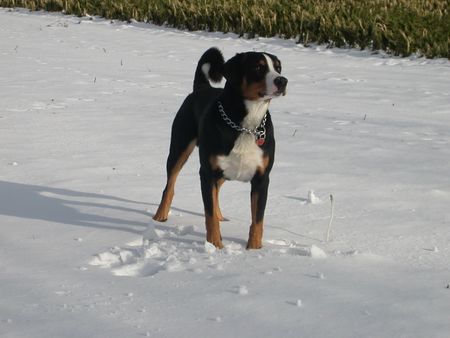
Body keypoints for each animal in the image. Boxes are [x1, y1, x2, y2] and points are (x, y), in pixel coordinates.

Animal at [154, 46, 288, 248]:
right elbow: (209, 216)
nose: (282, 80)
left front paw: (254, 250)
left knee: (216, 191)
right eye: (258, 67)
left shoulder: (262, 178)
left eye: (278, 67)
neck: (246, 126)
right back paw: (160, 215)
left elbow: (257, 220)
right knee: (170, 185)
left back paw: (220, 216)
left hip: (224, 170)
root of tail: (203, 87)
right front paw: (215, 246)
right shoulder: (207, 172)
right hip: (180, 148)